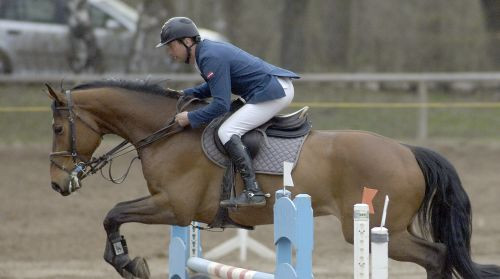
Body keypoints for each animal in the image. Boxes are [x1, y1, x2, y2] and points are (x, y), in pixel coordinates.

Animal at [47, 79, 500, 279]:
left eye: (57, 128)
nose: (56, 183)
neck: (167, 131)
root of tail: (408, 151)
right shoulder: (176, 211)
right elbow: (113, 216)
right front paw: (126, 260)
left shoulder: (173, 205)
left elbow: (112, 214)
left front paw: (129, 263)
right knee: (438, 255)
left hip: (376, 228)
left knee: (436, 255)